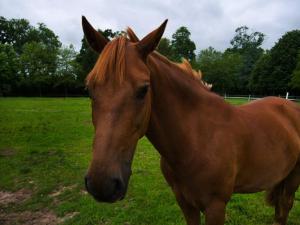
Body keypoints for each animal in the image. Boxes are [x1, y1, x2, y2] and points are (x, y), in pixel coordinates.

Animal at [81, 16, 300, 225]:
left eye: (144, 89)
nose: (102, 184)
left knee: (284, 208)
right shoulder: (185, 203)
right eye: (89, 88)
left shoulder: (216, 207)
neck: (197, 139)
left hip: (292, 180)